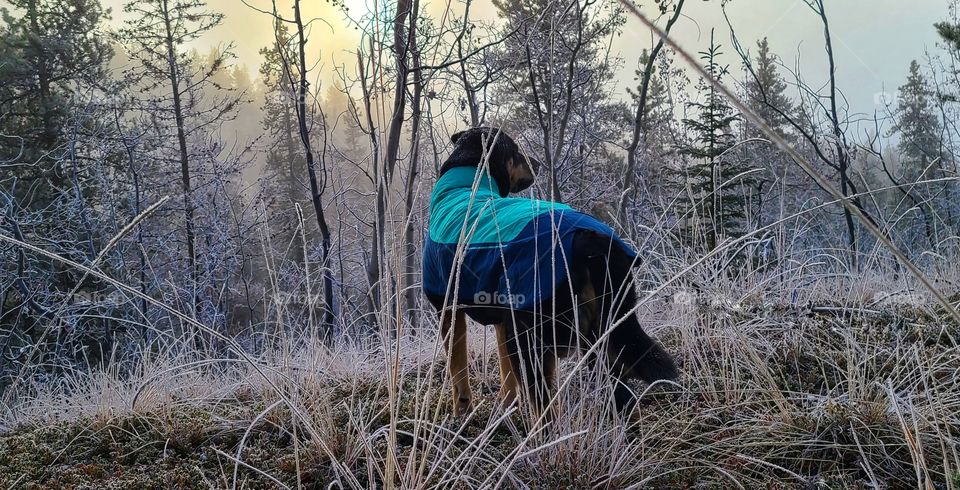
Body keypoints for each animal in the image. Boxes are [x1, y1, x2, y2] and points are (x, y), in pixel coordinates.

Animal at [420, 126, 676, 422]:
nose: (537, 163)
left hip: (536, 338)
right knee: (619, 395)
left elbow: (458, 371)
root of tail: (590, 238)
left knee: (545, 410)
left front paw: (461, 414)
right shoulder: (502, 320)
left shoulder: (449, 310)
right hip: (601, 337)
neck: (467, 184)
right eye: (517, 151)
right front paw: (506, 408)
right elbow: (507, 375)